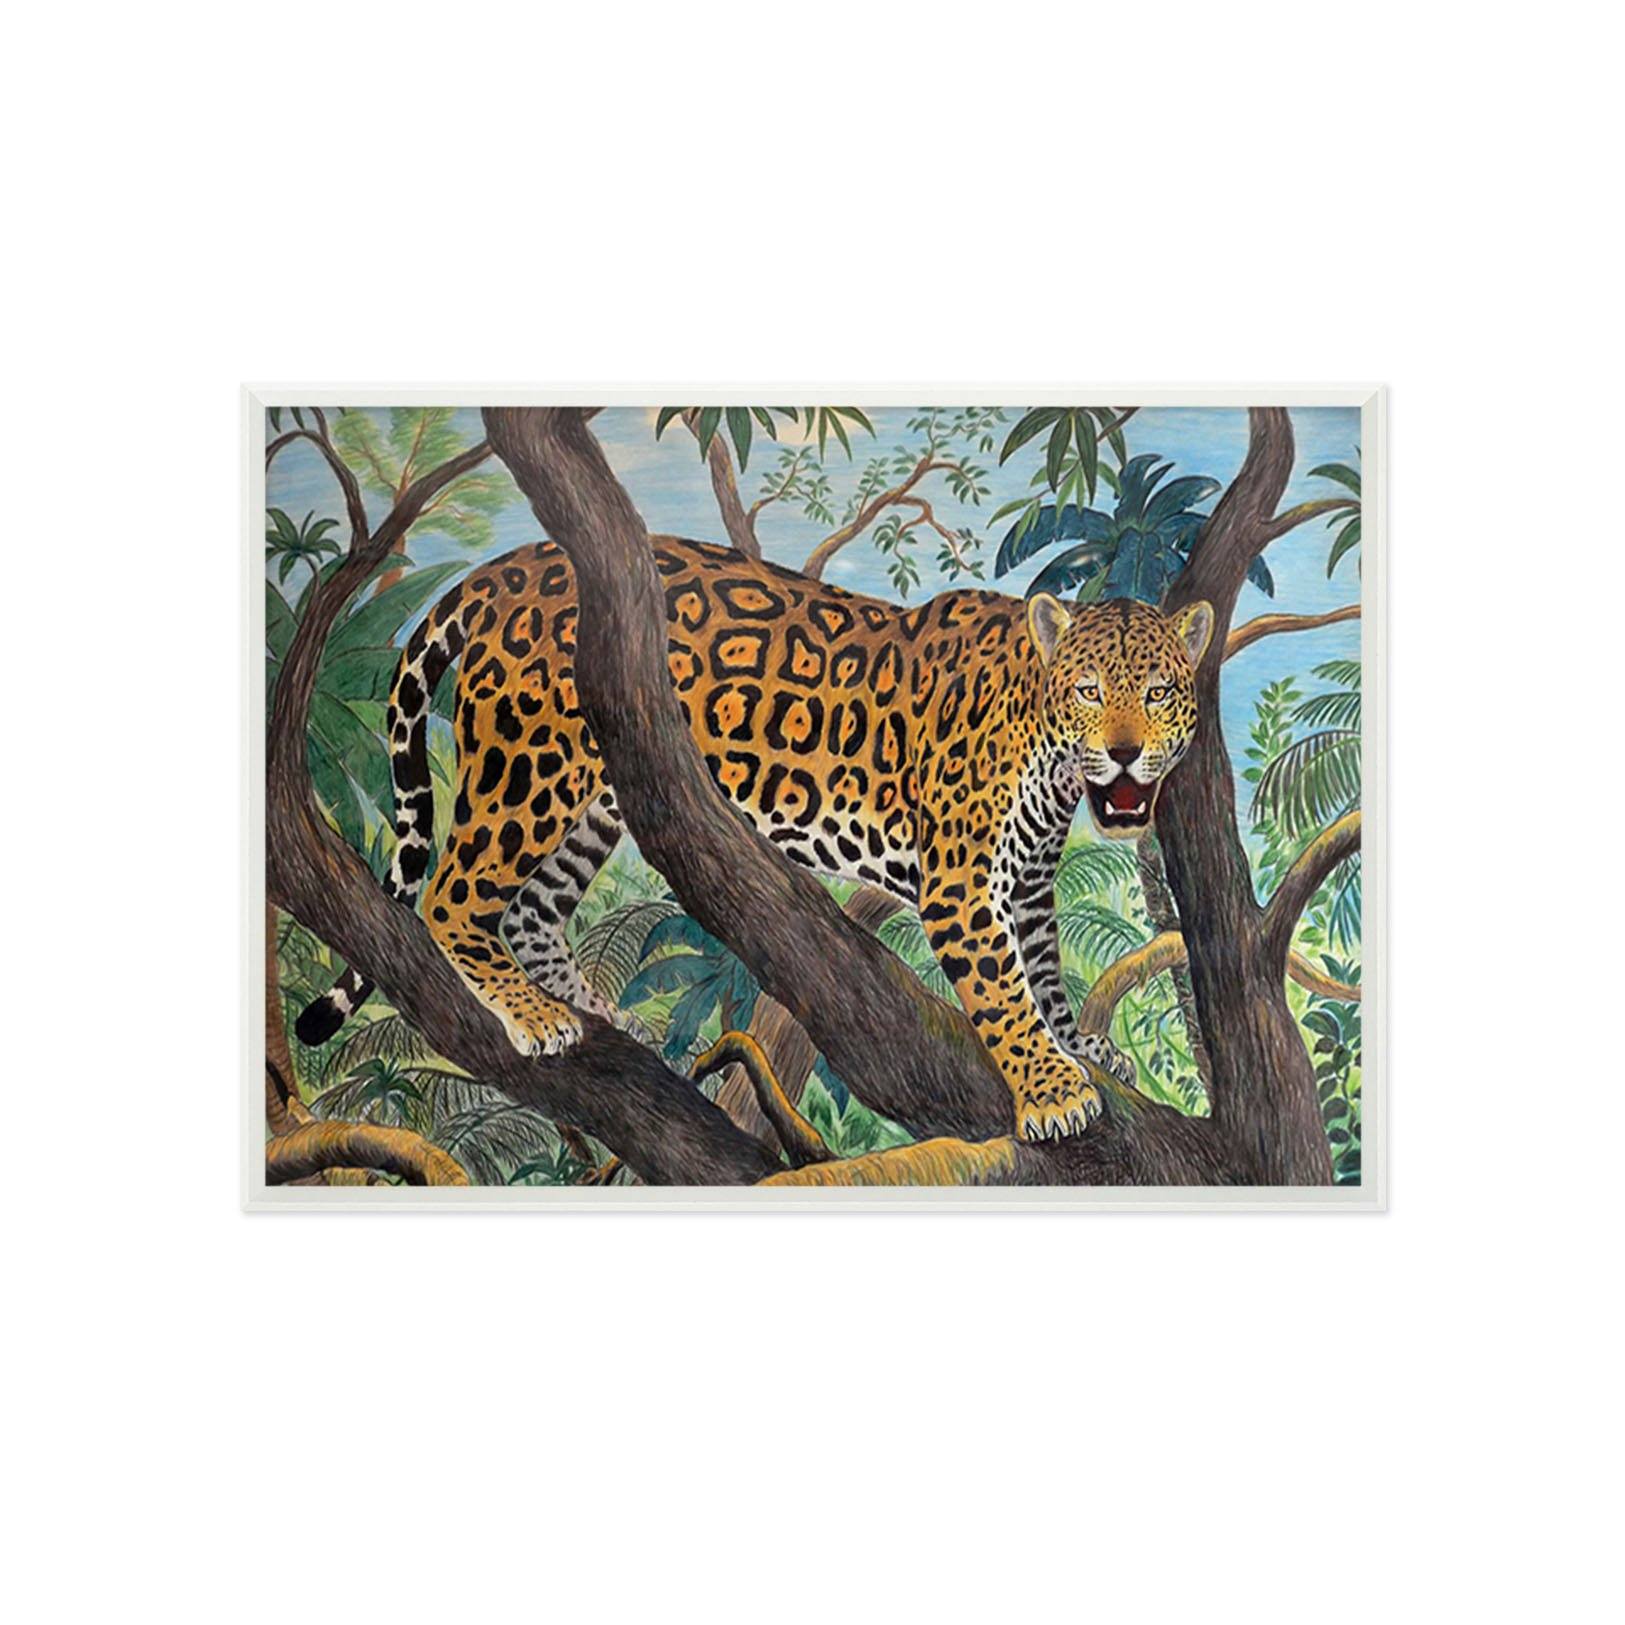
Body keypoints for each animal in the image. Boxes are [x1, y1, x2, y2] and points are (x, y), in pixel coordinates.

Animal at [296, 534, 1214, 1143]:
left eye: (1159, 692)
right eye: (1089, 689)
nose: (1124, 751)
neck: (1049, 757)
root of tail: (513, 563)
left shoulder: (1024, 881)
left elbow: (1043, 971)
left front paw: (1075, 1046)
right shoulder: (962, 883)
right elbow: (1002, 989)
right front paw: (1051, 1089)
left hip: (600, 790)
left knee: (530, 911)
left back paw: (596, 1011)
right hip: (530, 763)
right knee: (452, 895)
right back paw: (535, 1014)